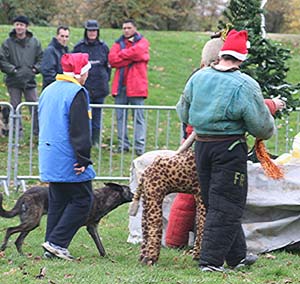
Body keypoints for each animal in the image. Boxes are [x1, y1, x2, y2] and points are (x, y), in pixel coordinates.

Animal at [0, 183, 132, 256]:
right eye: (130, 191)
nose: (135, 194)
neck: (105, 197)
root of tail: (24, 194)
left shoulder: (92, 227)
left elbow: (100, 245)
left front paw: (105, 256)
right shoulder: (77, 225)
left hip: (31, 223)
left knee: (18, 241)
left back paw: (22, 255)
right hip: (31, 222)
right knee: (10, 230)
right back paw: (3, 247)